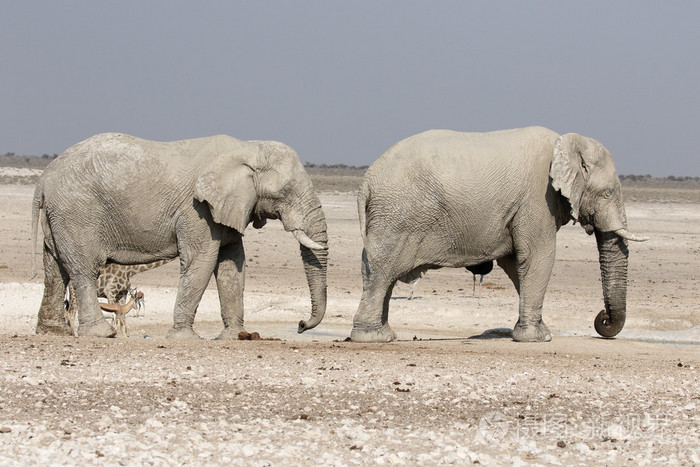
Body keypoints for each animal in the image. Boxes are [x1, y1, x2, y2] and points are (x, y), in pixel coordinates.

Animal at [32, 133, 328, 338]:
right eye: (286, 191)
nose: (300, 325)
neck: (247, 148)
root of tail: (44, 177)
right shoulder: (197, 210)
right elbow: (202, 262)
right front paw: (185, 337)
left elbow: (232, 267)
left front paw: (237, 337)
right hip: (76, 213)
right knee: (83, 269)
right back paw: (102, 333)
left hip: (58, 217)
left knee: (54, 270)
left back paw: (53, 333)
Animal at [352, 128, 648, 344]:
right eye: (608, 192)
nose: (603, 319)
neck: (565, 143)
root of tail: (366, 181)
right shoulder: (537, 200)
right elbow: (538, 257)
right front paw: (537, 338)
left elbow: (517, 263)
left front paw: (540, 331)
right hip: (397, 216)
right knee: (381, 272)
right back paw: (373, 338)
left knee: (382, 275)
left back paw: (384, 334)